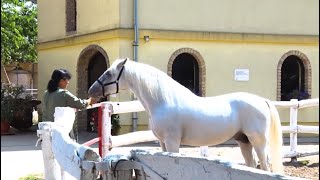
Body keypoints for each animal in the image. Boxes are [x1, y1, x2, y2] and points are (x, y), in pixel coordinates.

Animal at [87, 57, 282, 173]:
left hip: (258, 142)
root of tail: (262, 100)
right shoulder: (163, 142)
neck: (163, 101)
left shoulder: (173, 142)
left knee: (265, 166)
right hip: (244, 141)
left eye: (109, 73)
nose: (91, 90)